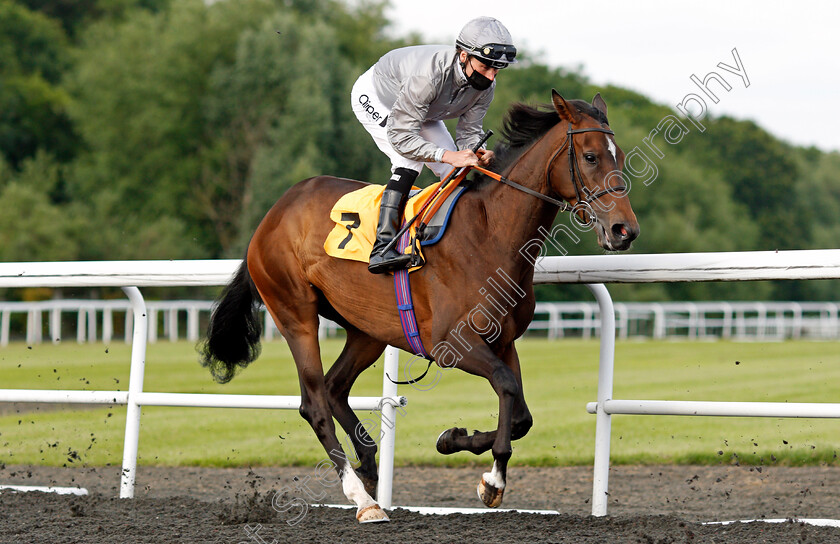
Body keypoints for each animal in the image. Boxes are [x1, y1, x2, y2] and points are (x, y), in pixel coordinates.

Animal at [200, 90, 640, 524]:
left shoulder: (502, 341)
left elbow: (520, 415)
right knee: (314, 403)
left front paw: (453, 439)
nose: (625, 230)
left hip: (367, 329)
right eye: (590, 156)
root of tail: (272, 215)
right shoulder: (450, 344)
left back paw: (369, 467)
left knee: (334, 387)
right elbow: (506, 387)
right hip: (296, 314)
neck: (489, 232)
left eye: (618, 156)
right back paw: (362, 499)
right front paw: (493, 480)